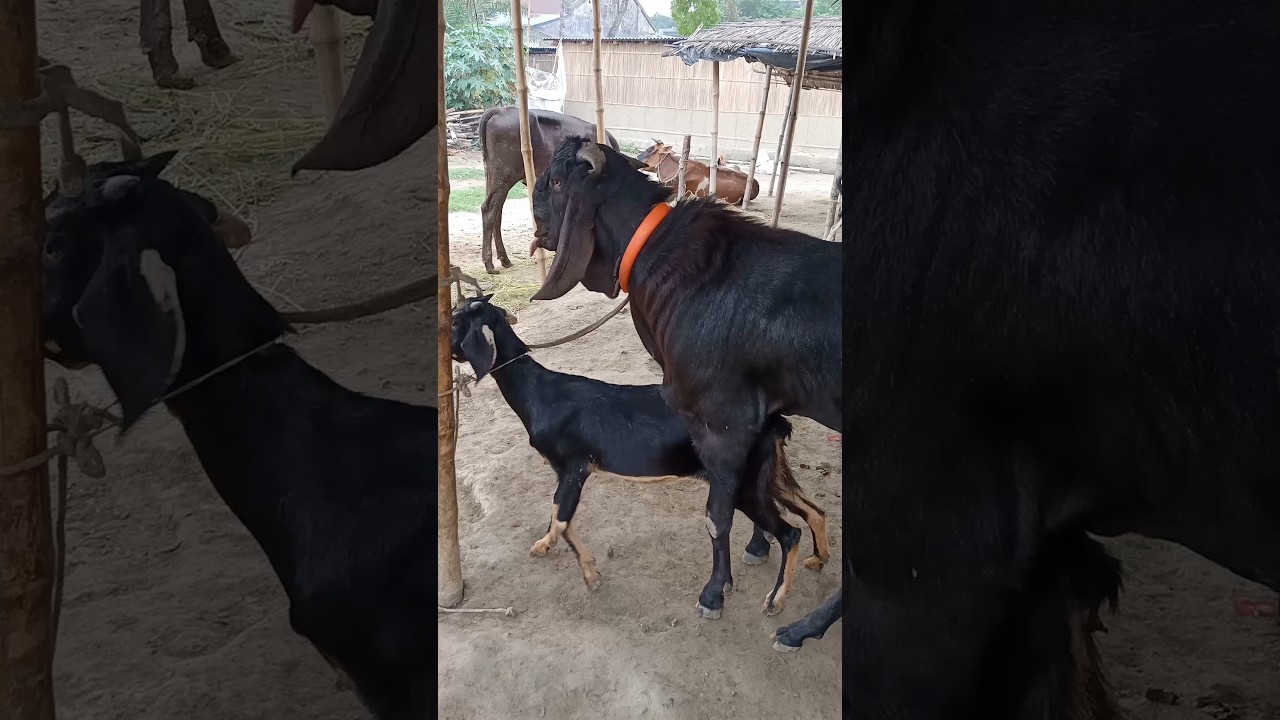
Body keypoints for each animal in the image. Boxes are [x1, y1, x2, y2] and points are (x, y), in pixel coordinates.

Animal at [450, 295, 830, 603]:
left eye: (455, 321)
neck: (540, 393)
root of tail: (773, 419)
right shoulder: (565, 471)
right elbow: (562, 517)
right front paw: (576, 563)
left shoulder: (575, 465)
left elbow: (560, 518)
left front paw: (569, 562)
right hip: (766, 470)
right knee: (812, 509)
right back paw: (818, 558)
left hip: (746, 481)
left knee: (790, 531)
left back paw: (775, 599)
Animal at [528, 138, 841, 624]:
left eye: (558, 181)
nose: (535, 214)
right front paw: (759, 546)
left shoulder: (723, 421)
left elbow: (718, 513)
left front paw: (713, 594)